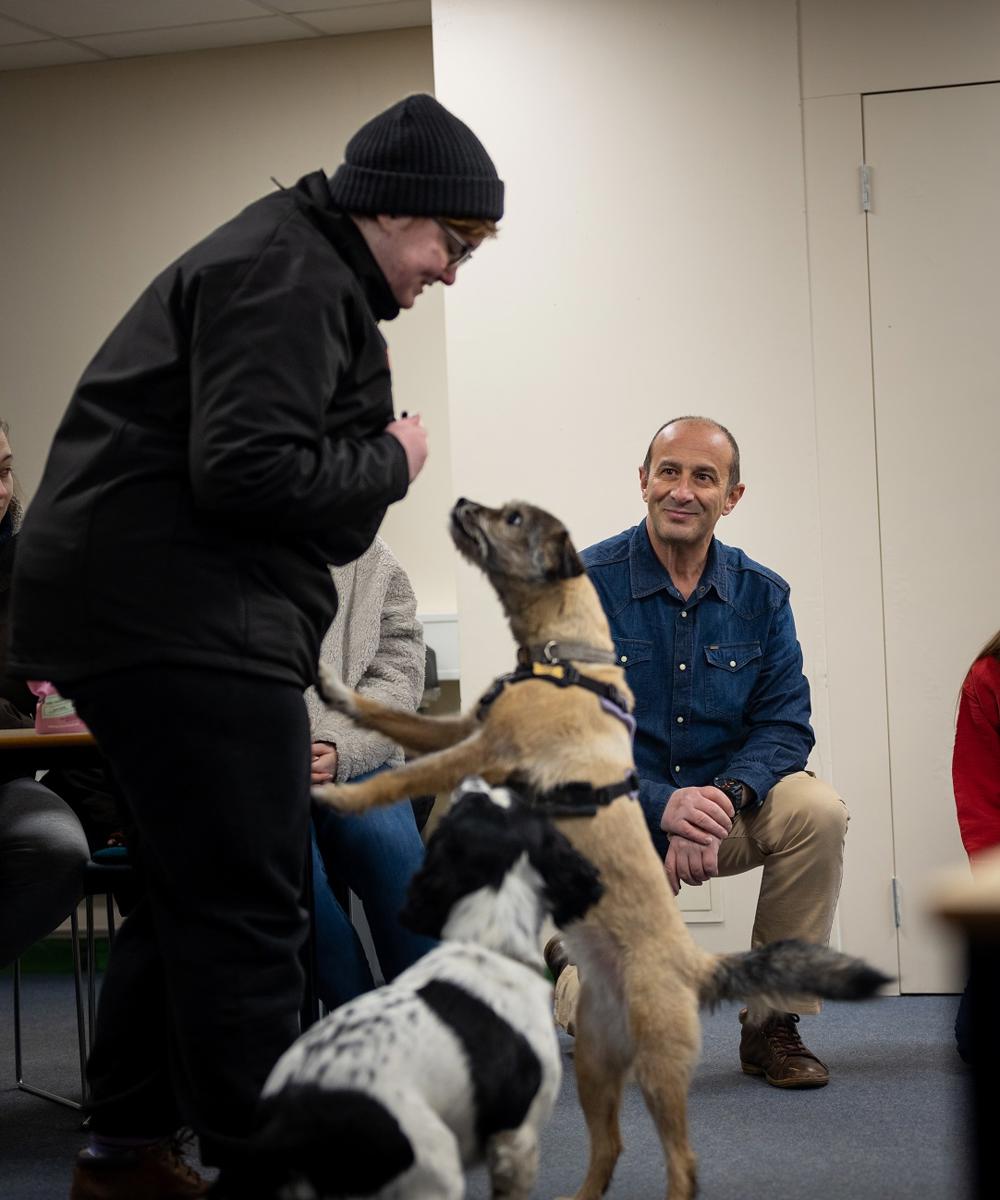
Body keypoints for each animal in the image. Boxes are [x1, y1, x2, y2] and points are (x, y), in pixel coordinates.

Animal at [316, 499, 883, 1200]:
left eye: (512, 518)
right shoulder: (462, 729)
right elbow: (392, 720)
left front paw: (340, 796)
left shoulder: (483, 750)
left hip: (658, 1071)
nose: (460, 504)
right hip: (592, 1063)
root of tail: (694, 965)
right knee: (609, 1146)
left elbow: (403, 777)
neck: (563, 658)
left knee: (683, 1164)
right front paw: (335, 695)